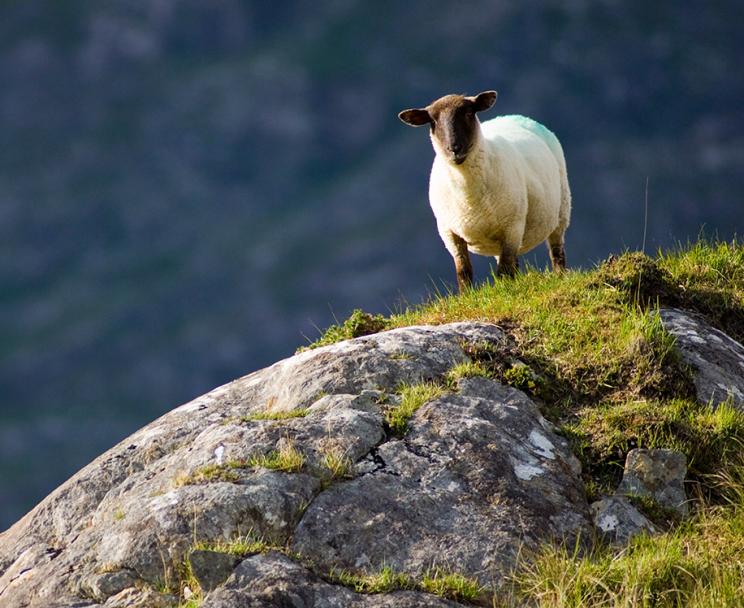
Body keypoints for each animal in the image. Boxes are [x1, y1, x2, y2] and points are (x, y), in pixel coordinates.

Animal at [398, 89, 572, 290]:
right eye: (432, 121)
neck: (469, 197)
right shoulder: (450, 234)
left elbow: (503, 271)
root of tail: (515, 116)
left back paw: (560, 276)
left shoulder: (512, 227)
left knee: (556, 251)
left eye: (468, 113)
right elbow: (463, 271)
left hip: (561, 212)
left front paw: (506, 291)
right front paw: (466, 294)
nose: (454, 148)